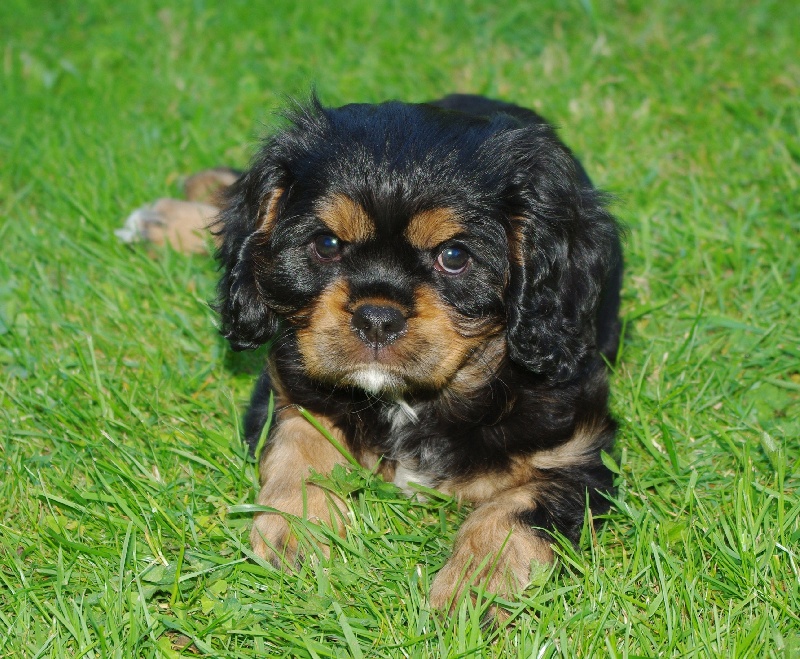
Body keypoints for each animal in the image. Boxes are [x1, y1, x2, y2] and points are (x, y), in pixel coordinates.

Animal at [122, 94, 623, 608]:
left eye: (454, 257)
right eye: (326, 244)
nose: (377, 318)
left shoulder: (576, 452)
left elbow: (512, 513)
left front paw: (475, 588)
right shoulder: (287, 385)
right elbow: (301, 441)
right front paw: (296, 529)